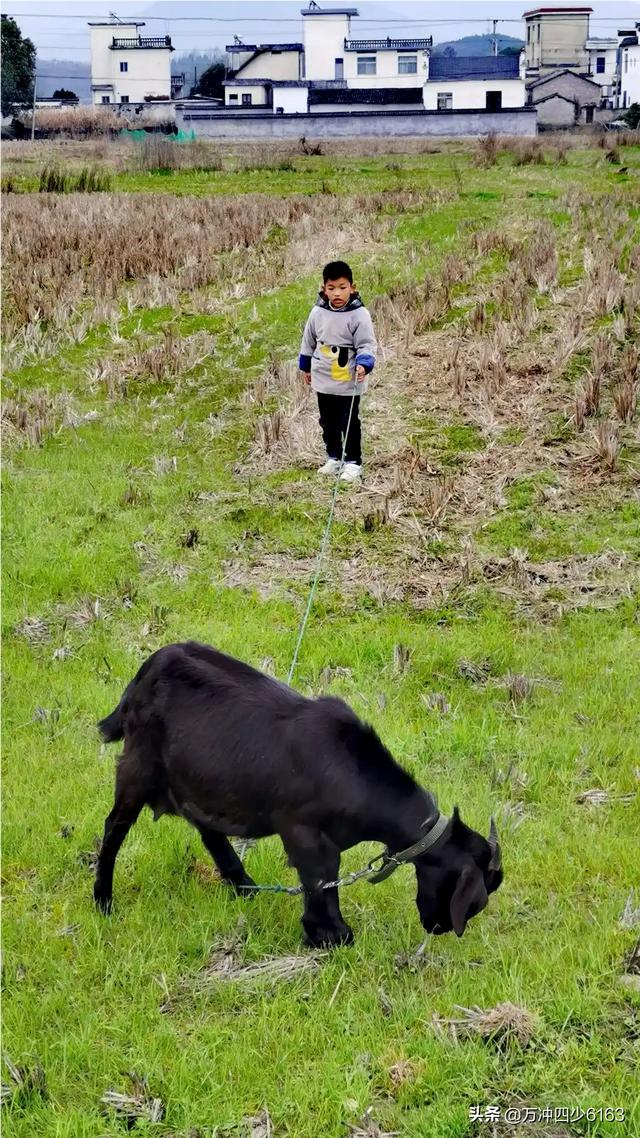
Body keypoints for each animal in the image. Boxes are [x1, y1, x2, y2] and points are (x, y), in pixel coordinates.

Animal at [95, 646, 503, 946]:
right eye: (474, 901)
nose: (440, 928)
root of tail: (146, 670)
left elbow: (319, 881)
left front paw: (320, 933)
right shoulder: (305, 832)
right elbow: (321, 880)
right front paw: (332, 935)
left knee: (207, 828)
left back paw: (244, 886)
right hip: (138, 765)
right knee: (114, 827)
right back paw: (103, 900)